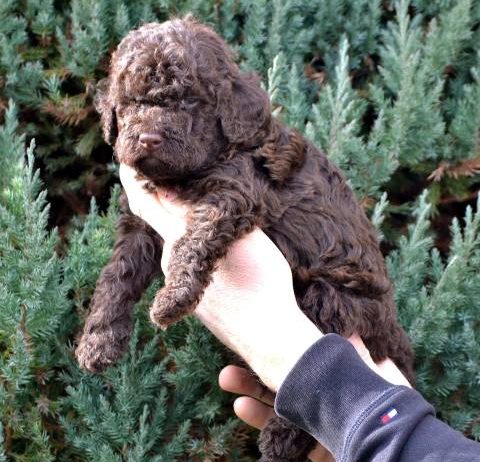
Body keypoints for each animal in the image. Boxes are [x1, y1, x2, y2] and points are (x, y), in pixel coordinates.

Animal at [75, 16, 412, 462]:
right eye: (130, 102)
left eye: (189, 102)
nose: (148, 139)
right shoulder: (138, 224)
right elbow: (116, 278)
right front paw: (98, 342)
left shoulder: (234, 194)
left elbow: (193, 240)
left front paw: (172, 299)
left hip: (329, 299)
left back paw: (279, 440)